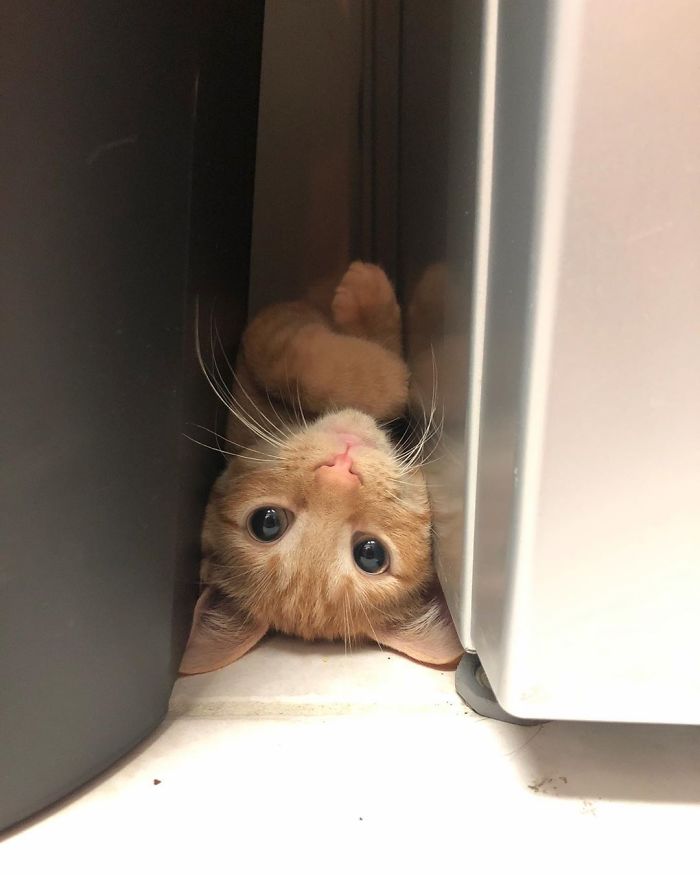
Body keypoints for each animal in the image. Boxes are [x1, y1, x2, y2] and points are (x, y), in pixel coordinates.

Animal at [183, 264, 462, 676]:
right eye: (266, 523)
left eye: (370, 554)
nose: (340, 469)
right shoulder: (270, 330)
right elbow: (319, 365)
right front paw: (369, 300)